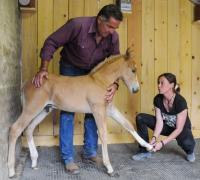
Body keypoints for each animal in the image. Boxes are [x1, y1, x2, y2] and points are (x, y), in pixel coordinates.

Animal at [7, 47, 152, 178]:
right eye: (133, 70)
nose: (136, 90)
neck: (100, 82)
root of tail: (27, 83)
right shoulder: (98, 111)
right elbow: (103, 135)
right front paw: (109, 167)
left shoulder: (110, 109)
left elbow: (127, 125)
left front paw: (148, 146)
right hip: (31, 109)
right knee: (15, 129)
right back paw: (11, 170)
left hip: (44, 110)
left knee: (28, 129)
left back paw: (34, 161)